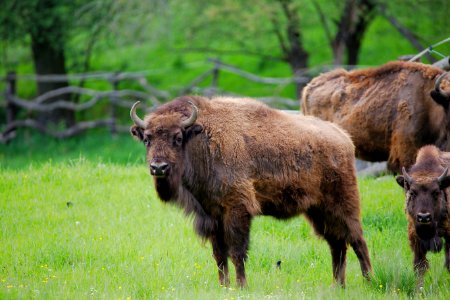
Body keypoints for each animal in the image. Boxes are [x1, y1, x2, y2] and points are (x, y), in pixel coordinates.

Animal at [128, 96, 370, 288]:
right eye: (147, 139)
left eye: (177, 138)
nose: (159, 167)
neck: (202, 139)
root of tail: (343, 137)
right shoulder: (212, 215)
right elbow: (219, 255)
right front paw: (224, 286)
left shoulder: (237, 209)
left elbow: (237, 251)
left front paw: (241, 286)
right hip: (317, 211)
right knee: (337, 245)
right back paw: (337, 286)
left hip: (343, 203)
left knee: (356, 239)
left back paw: (368, 281)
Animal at [396, 145, 450, 288]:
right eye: (412, 193)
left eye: (436, 192)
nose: (424, 217)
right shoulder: (416, 240)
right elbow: (420, 266)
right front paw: (419, 289)